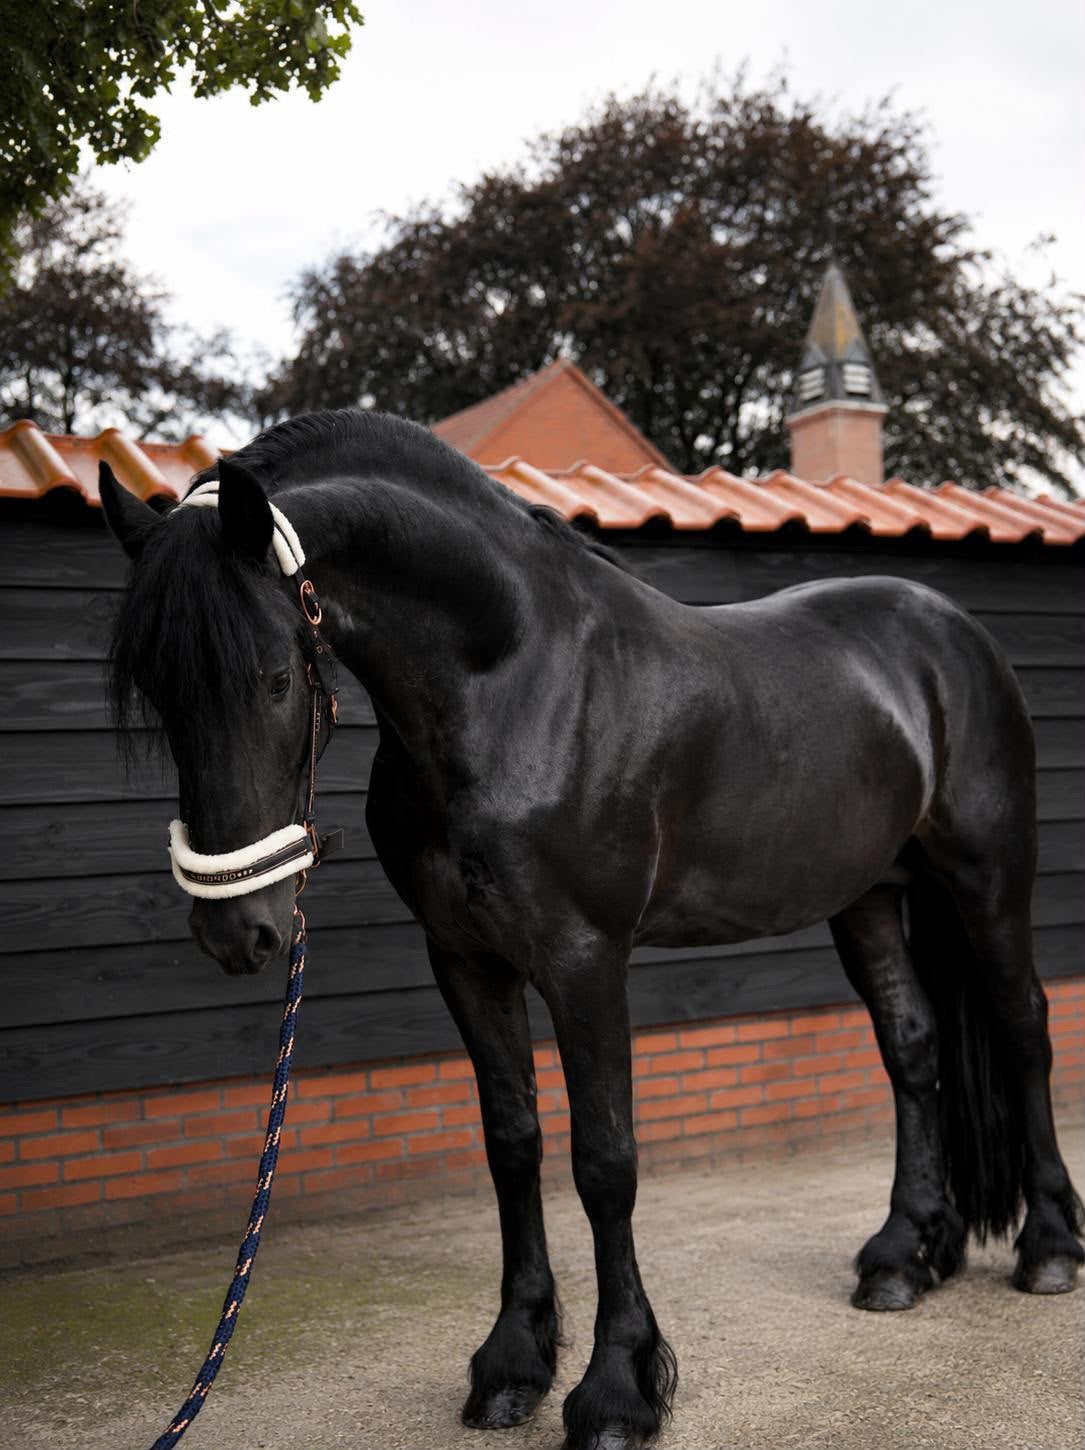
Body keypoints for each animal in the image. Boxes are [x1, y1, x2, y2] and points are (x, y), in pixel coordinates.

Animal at [100, 409, 1082, 1450]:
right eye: (157, 690)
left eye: (277, 677)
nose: (235, 932)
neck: (512, 683)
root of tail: (946, 631)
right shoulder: (464, 958)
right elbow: (512, 1144)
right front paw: (511, 1365)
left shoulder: (584, 959)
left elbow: (604, 1161)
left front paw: (617, 1391)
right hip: (867, 896)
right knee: (911, 1047)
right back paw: (902, 1256)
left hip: (986, 877)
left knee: (1022, 1028)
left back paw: (1049, 1247)